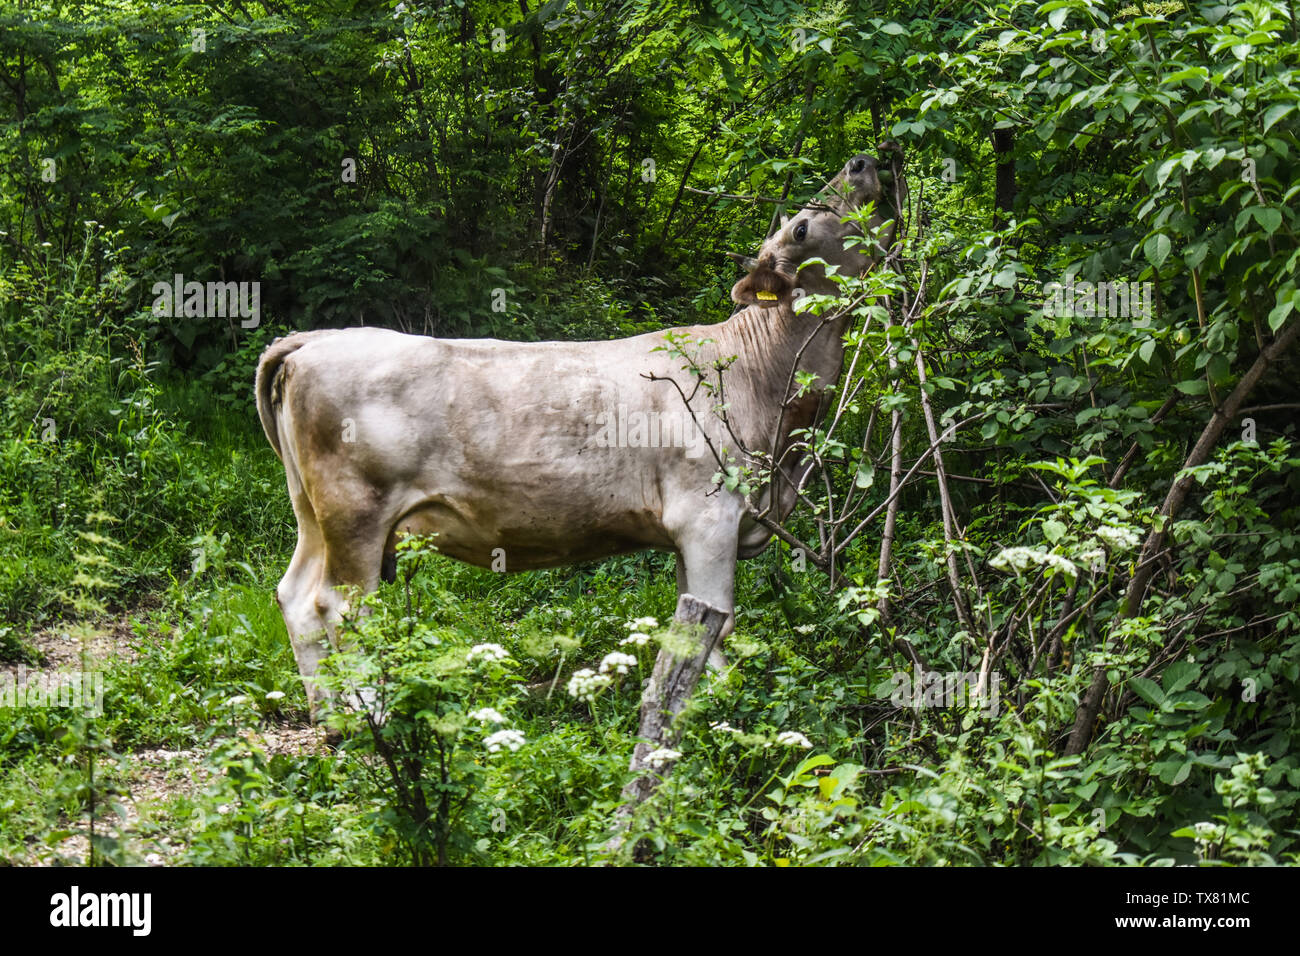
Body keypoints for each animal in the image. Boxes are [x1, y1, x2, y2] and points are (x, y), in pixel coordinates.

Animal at [258, 149, 899, 712]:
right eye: (801, 227)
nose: (866, 161)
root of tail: (316, 338)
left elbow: (689, 621)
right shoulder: (707, 514)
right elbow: (716, 622)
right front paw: (711, 715)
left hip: (312, 512)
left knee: (296, 597)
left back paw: (330, 719)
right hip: (356, 511)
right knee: (341, 607)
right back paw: (370, 721)